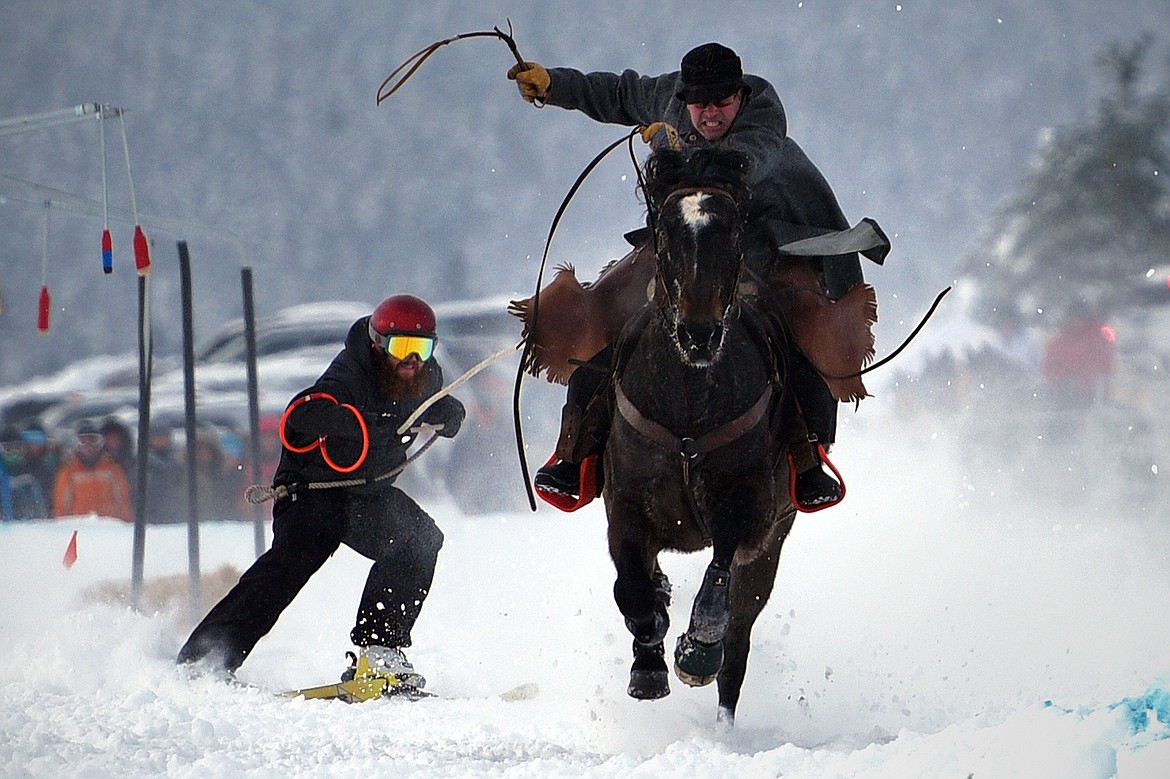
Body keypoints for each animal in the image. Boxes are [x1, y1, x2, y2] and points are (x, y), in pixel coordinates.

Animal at [603, 145, 795, 720]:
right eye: (666, 233)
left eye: (732, 232)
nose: (699, 332)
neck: (688, 408)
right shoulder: (625, 507)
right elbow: (633, 588)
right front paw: (648, 664)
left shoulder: (751, 507)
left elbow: (720, 577)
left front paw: (696, 649)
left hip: (772, 545)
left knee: (740, 637)